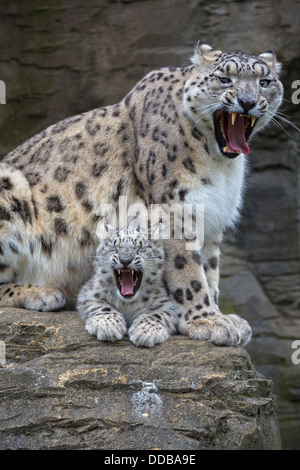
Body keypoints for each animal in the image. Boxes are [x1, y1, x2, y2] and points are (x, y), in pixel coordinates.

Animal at [0, 42, 282, 346]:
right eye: (224, 79)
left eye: (264, 82)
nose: (247, 101)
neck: (219, 164)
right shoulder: (175, 210)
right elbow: (189, 271)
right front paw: (206, 320)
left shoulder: (211, 218)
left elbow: (211, 270)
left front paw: (221, 316)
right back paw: (42, 293)